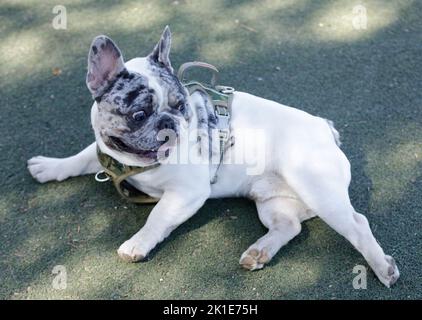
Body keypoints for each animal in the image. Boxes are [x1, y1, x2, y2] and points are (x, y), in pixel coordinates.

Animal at [27, 26, 398, 288]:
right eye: (139, 114)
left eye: (181, 106)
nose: (170, 123)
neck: (134, 165)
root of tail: (325, 128)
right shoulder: (107, 151)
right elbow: (82, 157)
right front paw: (50, 166)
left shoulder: (187, 193)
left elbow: (157, 218)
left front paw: (138, 244)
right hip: (272, 203)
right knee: (289, 226)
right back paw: (259, 251)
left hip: (316, 186)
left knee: (358, 224)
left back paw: (382, 267)